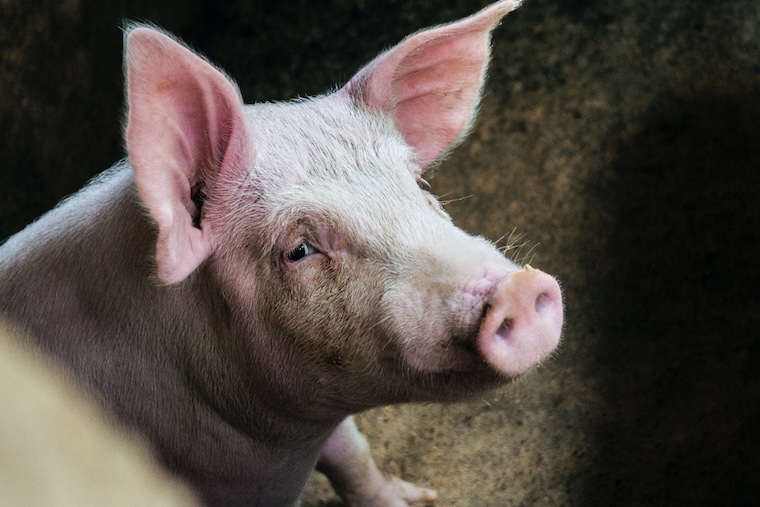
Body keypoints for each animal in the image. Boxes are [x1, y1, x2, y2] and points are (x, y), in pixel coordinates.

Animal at [0, 1, 563, 505]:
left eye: (419, 187)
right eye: (299, 250)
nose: (518, 288)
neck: (283, 448)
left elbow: (353, 452)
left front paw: (420, 498)